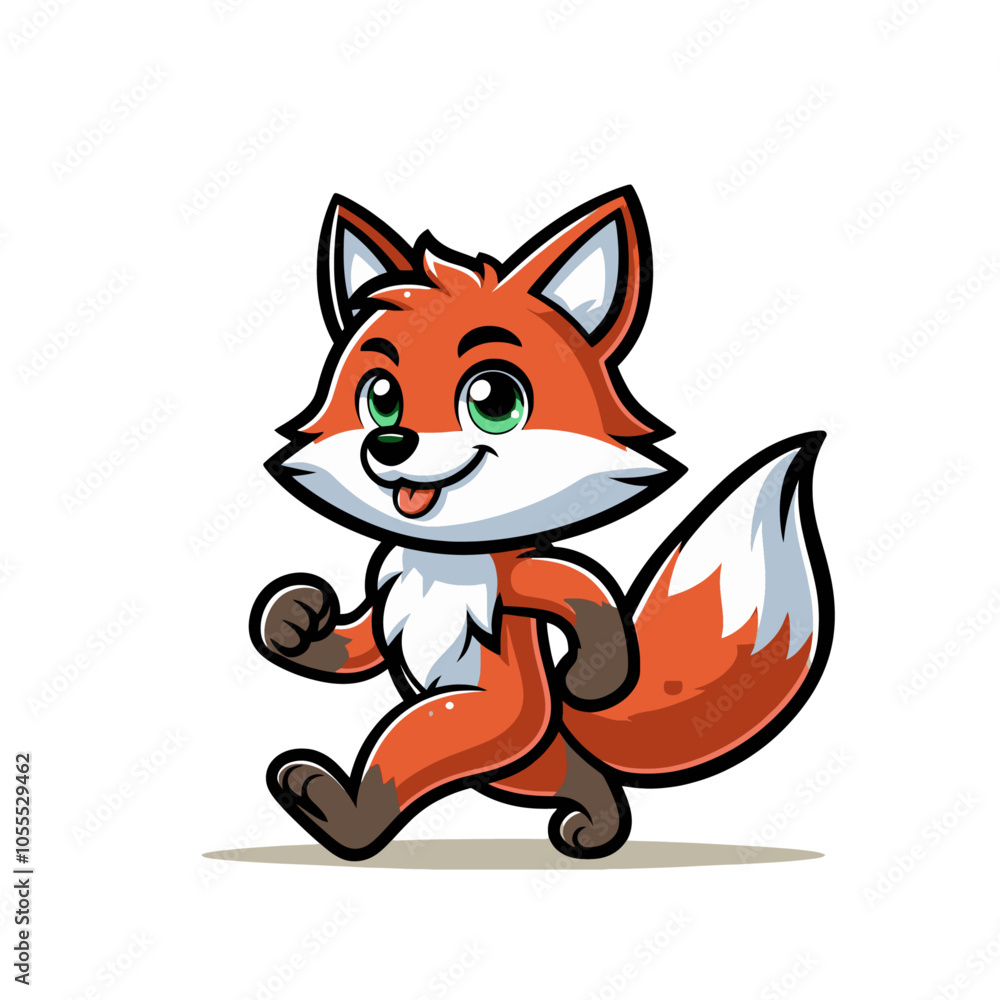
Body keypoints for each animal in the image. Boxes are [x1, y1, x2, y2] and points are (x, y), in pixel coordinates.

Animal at [249, 186, 834, 861]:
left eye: (493, 400)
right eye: (380, 397)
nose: (389, 443)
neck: (444, 557)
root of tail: (564, 735)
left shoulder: (519, 581)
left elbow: (580, 591)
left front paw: (594, 674)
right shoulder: (388, 589)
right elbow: (358, 641)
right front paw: (294, 622)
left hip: (486, 720)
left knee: (413, 748)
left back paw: (336, 810)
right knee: (582, 781)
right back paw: (592, 824)